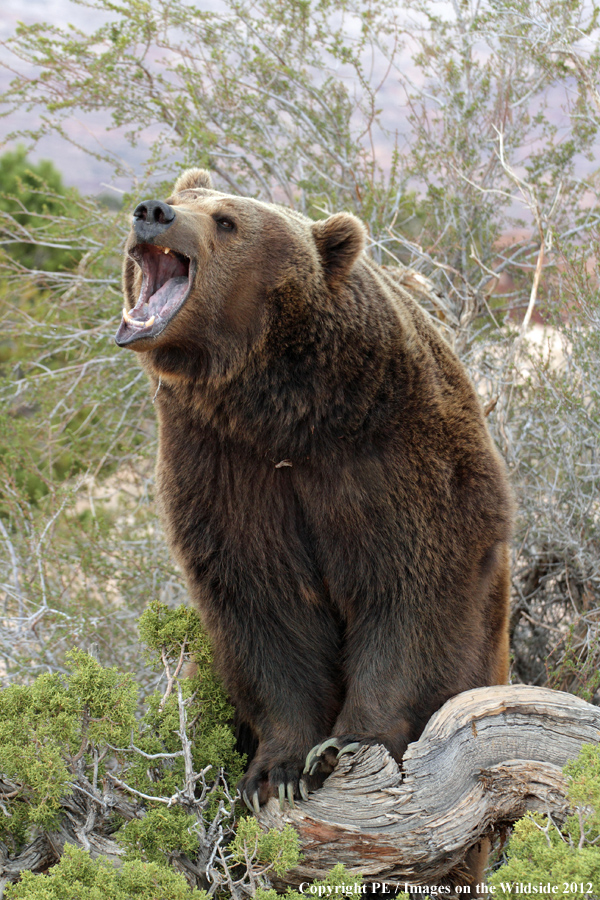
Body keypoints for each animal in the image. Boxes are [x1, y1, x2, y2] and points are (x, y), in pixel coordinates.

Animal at [116, 167, 510, 884]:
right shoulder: (224, 466)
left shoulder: (389, 451)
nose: (153, 211)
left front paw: (347, 741)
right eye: (181, 196)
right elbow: (266, 605)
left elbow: (412, 589)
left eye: (226, 220)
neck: (280, 407)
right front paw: (278, 770)